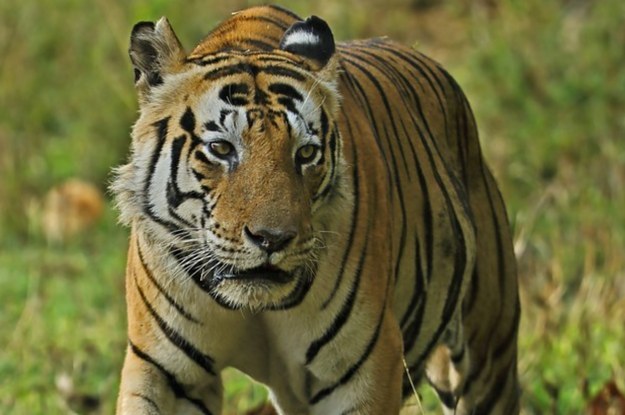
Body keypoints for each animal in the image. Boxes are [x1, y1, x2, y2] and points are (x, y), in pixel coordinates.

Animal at [113, 4, 520, 415]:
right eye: (221, 148)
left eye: (306, 153)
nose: (272, 239)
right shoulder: (166, 371)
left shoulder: (362, 368)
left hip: (488, 347)